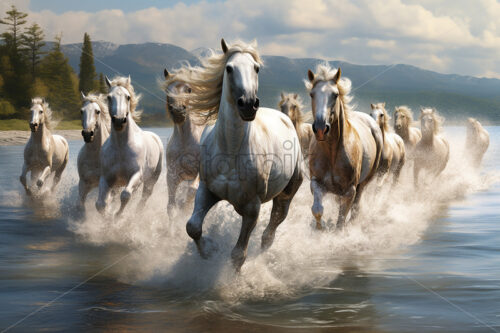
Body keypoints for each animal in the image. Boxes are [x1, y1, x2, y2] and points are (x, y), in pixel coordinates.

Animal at [94, 75, 163, 217]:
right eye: (109, 97)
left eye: (128, 97)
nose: (119, 120)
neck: (121, 148)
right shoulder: (106, 178)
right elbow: (100, 205)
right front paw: (107, 218)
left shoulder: (136, 174)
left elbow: (125, 195)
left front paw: (117, 216)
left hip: (151, 179)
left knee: (144, 196)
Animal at [163, 69, 204, 218]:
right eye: (167, 90)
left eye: (189, 89)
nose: (177, 111)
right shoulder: (172, 175)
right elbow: (171, 208)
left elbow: (192, 191)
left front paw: (185, 210)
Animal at [304, 65, 382, 231]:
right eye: (312, 94)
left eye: (335, 94)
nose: (321, 128)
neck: (332, 153)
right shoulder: (316, 183)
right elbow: (317, 209)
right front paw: (320, 228)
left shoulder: (349, 191)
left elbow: (341, 219)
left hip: (363, 183)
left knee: (356, 206)